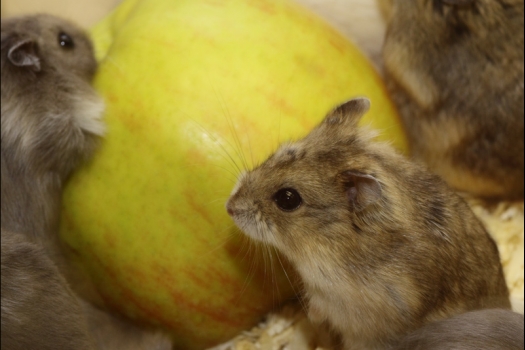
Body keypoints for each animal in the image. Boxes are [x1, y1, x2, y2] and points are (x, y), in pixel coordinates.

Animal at [224, 98, 508, 350]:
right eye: (277, 153)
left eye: (287, 199)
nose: (229, 207)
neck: (328, 237)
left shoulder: (332, 296)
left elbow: (318, 307)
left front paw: (311, 317)